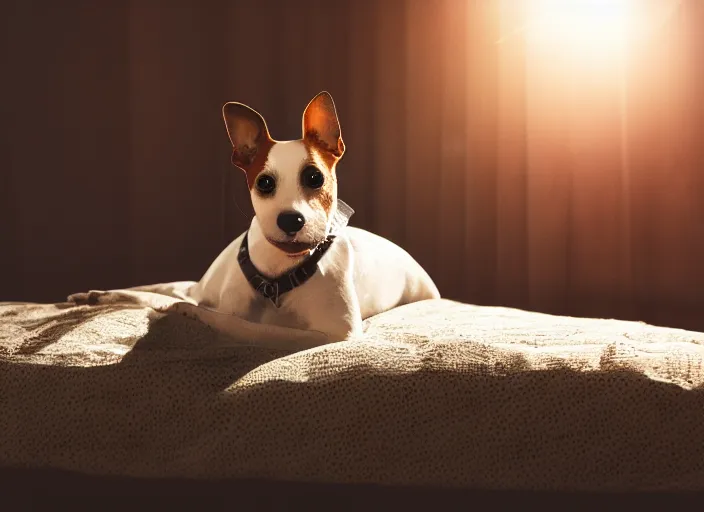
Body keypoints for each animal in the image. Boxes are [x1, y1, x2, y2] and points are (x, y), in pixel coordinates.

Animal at [67, 91, 440, 348]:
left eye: (315, 178)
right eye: (264, 183)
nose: (291, 220)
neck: (278, 274)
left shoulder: (331, 334)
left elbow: (249, 326)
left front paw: (187, 314)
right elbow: (220, 314)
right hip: (205, 283)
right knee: (164, 290)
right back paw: (95, 296)